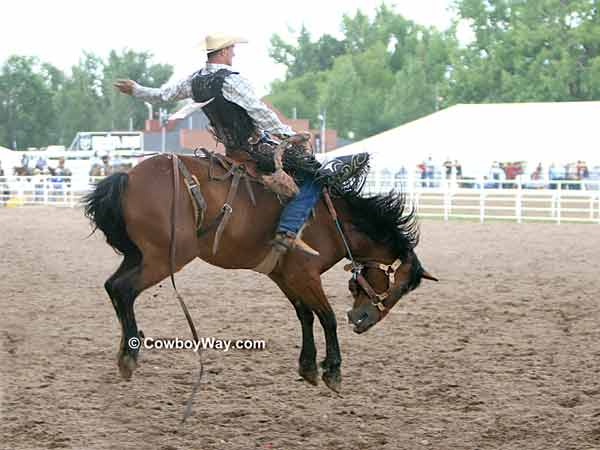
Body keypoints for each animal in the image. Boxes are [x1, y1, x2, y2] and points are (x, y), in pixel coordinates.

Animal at [83, 153, 436, 392]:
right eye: (401, 287)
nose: (363, 321)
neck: (334, 222)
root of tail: (127, 176)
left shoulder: (285, 276)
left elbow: (305, 315)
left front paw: (308, 366)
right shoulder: (306, 274)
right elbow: (327, 317)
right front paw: (333, 371)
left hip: (139, 255)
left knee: (112, 286)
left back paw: (127, 348)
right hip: (165, 258)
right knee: (123, 289)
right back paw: (129, 355)